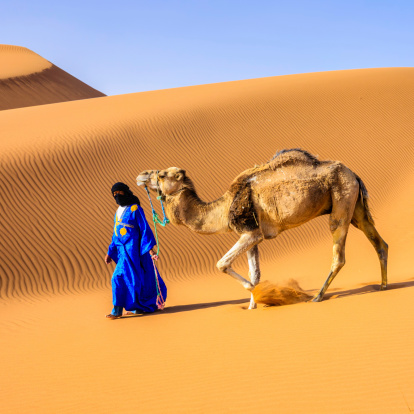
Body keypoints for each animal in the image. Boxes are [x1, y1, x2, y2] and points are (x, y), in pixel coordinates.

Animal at [137, 149, 388, 308]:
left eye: (162, 174)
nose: (141, 175)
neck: (223, 209)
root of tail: (353, 173)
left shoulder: (251, 232)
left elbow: (222, 264)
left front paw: (264, 294)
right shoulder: (250, 235)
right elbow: (255, 273)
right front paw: (253, 306)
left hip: (342, 201)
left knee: (339, 253)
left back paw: (317, 296)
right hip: (355, 206)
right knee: (379, 242)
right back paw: (384, 286)